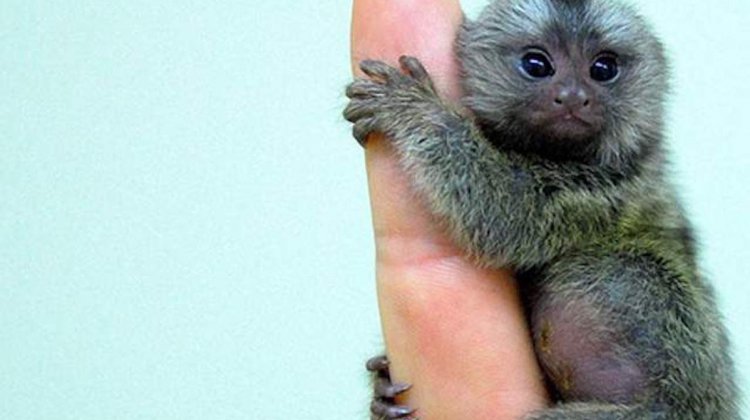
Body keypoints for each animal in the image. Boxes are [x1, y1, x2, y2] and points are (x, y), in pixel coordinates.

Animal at [343, 0, 738, 418]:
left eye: (603, 69)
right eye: (536, 65)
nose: (573, 96)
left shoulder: (609, 185)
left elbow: (503, 212)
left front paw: (417, 110)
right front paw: (381, 384)